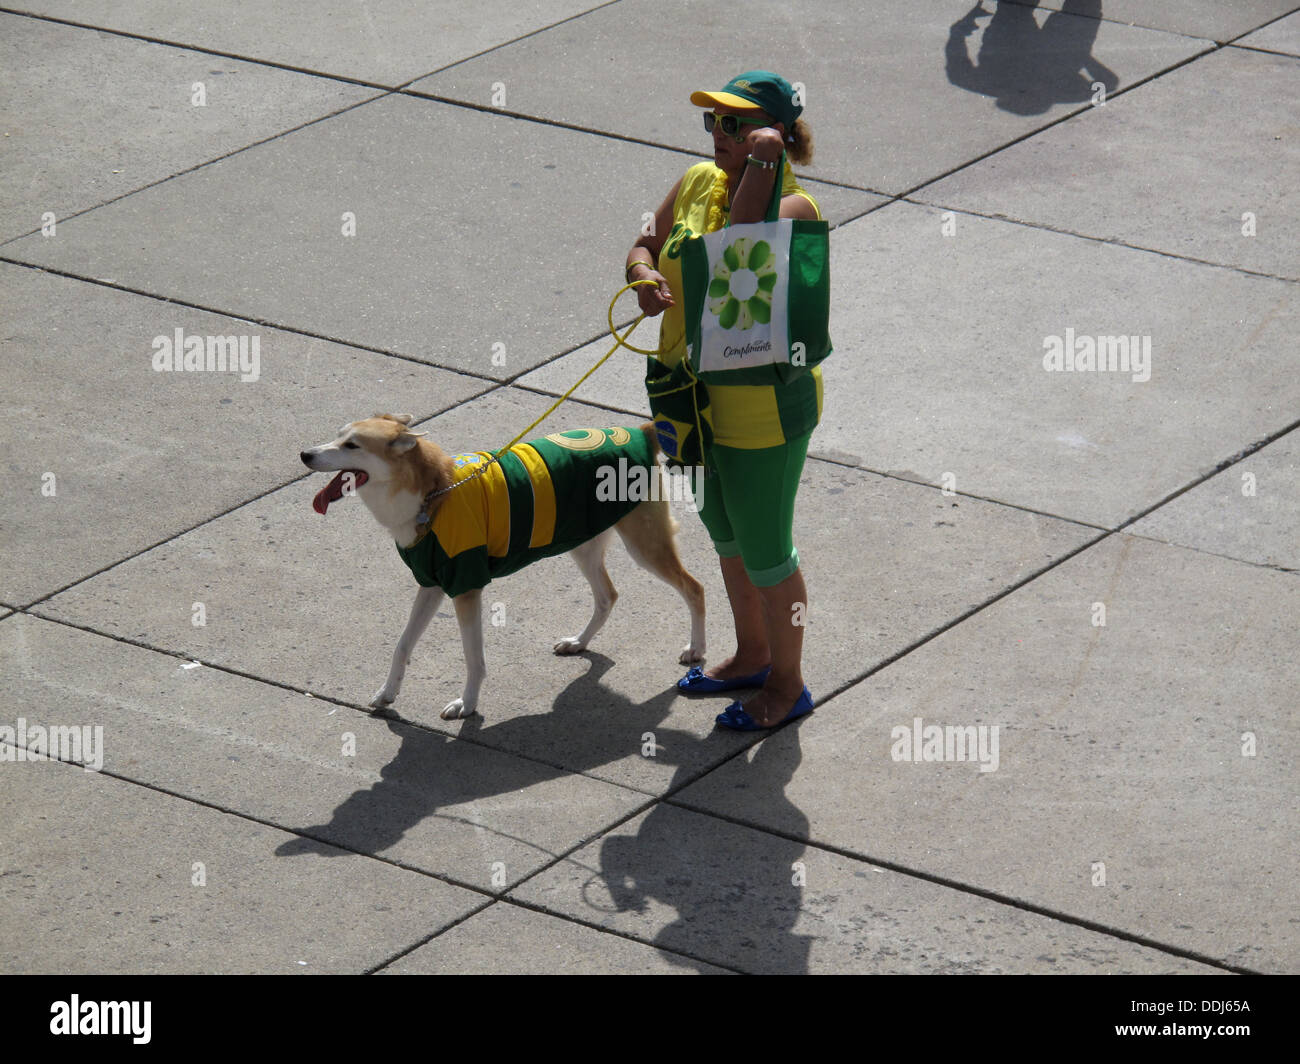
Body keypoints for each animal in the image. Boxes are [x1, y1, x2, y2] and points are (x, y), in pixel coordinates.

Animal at [299, 413, 707, 723]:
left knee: (694, 588)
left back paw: (696, 650)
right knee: (608, 595)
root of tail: (642, 431)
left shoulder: (465, 588)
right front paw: (388, 693)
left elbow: (472, 657)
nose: (304, 454)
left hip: (644, 544)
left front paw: (467, 704)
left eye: (352, 446)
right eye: (338, 436)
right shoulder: (431, 584)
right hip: (582, 542)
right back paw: (579, 642)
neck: (434, 491)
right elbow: (402, 644)